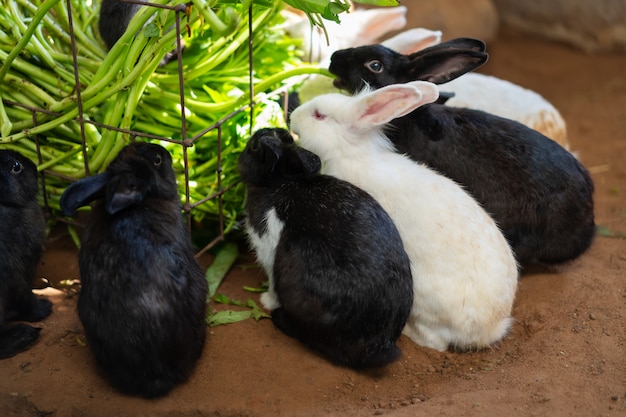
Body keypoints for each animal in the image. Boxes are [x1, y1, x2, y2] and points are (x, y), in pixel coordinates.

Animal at [236, 127, 412, 368]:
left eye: (253, 146)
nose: (252, 138)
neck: (279, 183)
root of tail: (378, 346)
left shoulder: (270, 255)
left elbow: (272, 285)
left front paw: (265, 301)